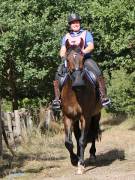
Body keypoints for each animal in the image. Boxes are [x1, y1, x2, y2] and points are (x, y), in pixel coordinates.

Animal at [60, 38, 102, 174]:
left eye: (82, 58)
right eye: (67, 59)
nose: (78, 83)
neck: (75, 95)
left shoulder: (86, 117)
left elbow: (83, 140)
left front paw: (81, 164)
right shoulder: (67, 117)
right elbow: (68, 142)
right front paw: (74, 159)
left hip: (96, 115)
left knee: (93, 133)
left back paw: (92, 155)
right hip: (75, 119)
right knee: (78, 136)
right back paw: (78, 155)